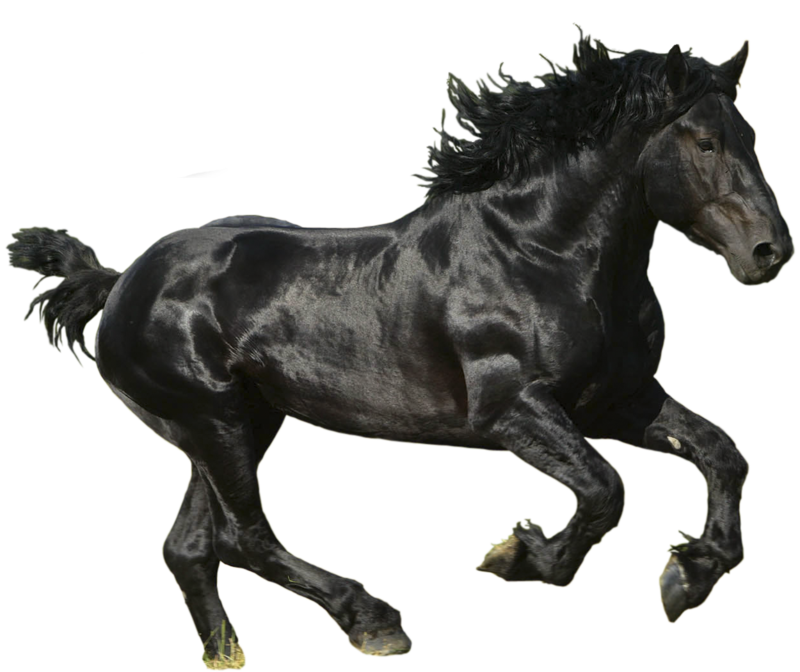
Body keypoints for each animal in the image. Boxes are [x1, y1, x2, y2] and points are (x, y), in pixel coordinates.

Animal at [5, 23, 793, 665]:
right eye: (704, 142)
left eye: (752, 136)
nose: (770, 252)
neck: (541, 252)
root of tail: (120, 283)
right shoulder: (514, 411)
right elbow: (607, 488)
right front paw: (520, 556)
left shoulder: (619, 402)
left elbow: (724, 454)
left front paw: (688, 575)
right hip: (213, 419)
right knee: (241, 537)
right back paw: (375, 621)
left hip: (242, 421)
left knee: (192, 547)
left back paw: (229, 656)